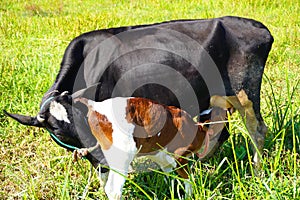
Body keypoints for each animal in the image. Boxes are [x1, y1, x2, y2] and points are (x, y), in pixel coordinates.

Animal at [4, 16, 274, 177]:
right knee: (220, 131)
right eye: (59, 134)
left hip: (245, 92)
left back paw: (257, 172)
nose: (101, 163)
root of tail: (258, 27)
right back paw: (200, 164)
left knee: (258, 130)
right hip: (217, 97)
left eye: (83, 120)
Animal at [74, 96, 212, 198]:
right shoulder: (179, 155)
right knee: (113, 190)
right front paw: (188, 195)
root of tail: (94, 105)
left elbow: (169, 175)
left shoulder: (160, 155)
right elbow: (188, 179)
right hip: (123, 155)